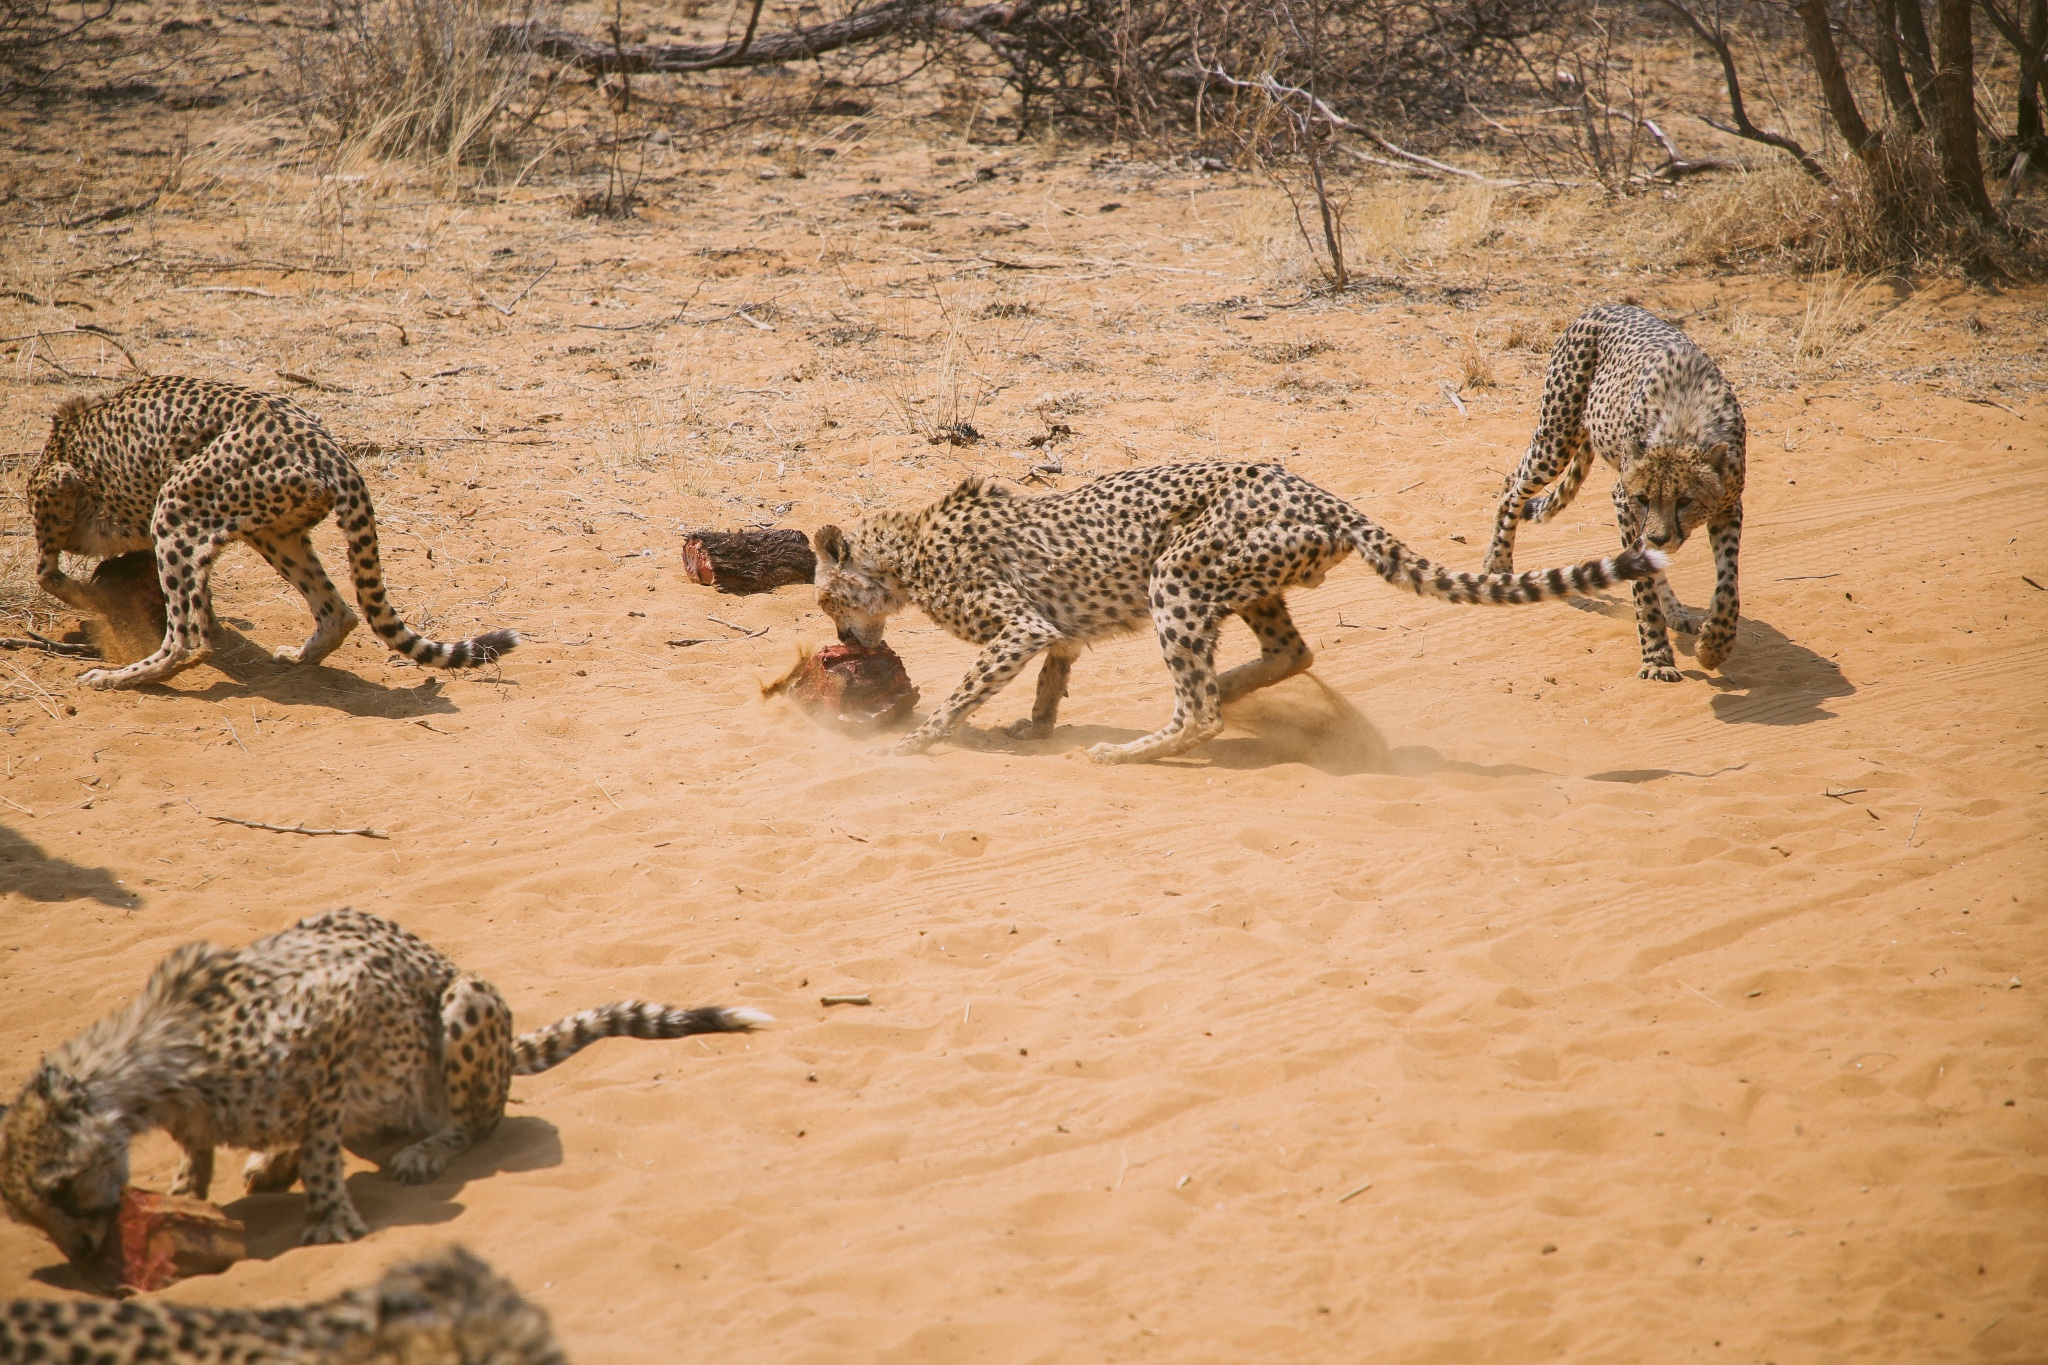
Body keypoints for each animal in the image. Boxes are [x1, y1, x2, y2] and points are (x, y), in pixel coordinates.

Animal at [0, 912, 770, 1268]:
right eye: (28, 1212)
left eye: (61, 1189)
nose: (79, 1252)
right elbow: (207, 1145)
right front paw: (190, 1190)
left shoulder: (342, 1005)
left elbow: (321, 1138)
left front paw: (329, 1216)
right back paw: (270, 1160)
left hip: (465, 1000)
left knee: (477, 1121)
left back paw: (425, 1150)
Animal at [27, 376, 520, 687]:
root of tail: (329, 448)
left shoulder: (56, 483)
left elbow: (46, 569)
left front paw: (93, 600)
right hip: (271, 531)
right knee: (338, 611)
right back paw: (300, 655)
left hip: (176, 506)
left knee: (186, 641)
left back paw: (122, 678)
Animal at [806, 462, 1671, 769]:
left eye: (823, 598)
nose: (840, 638)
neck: (904, 549)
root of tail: (1319, 491)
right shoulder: (1054, 628)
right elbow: (1055, 671)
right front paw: (1036, 725)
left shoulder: (1018, 626)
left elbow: (962, 694)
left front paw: (911, 742)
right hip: (1250, 582)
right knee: (1293, 654)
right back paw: (1234, 686)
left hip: (1178, 572)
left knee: (1201, 710)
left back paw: (1135, 748)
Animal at [1482, 300, 1753, 679]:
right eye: (1644, 498)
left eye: (1685, 500)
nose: (1659, 537)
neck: (1683, 423)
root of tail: (1604, 305)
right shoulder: (1624, 500)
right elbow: (1642, 589)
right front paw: (1657, 658)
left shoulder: (1729, 505)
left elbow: (1728, 582)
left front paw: (1714, 645)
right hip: (1555, 440)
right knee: (1512, 485)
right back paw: (1498, 561)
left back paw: (1676, 610)